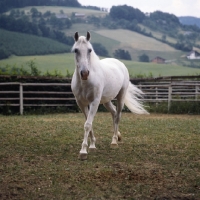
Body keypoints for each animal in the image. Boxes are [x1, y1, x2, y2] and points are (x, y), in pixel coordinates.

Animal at [71, 31, 148, 159]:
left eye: (90, 50)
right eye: (76, 50)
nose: (85, 73)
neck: (85, 82)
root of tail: (119, 63)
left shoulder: (94, 102)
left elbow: (87, 124)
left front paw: (83, 151)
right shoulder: (81, 103)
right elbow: (89, 123)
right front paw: (92, 146)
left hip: (120, 97)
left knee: (118, 116)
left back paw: (114, 141)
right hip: (106, 101)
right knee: (113, 113)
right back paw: (118, 136)